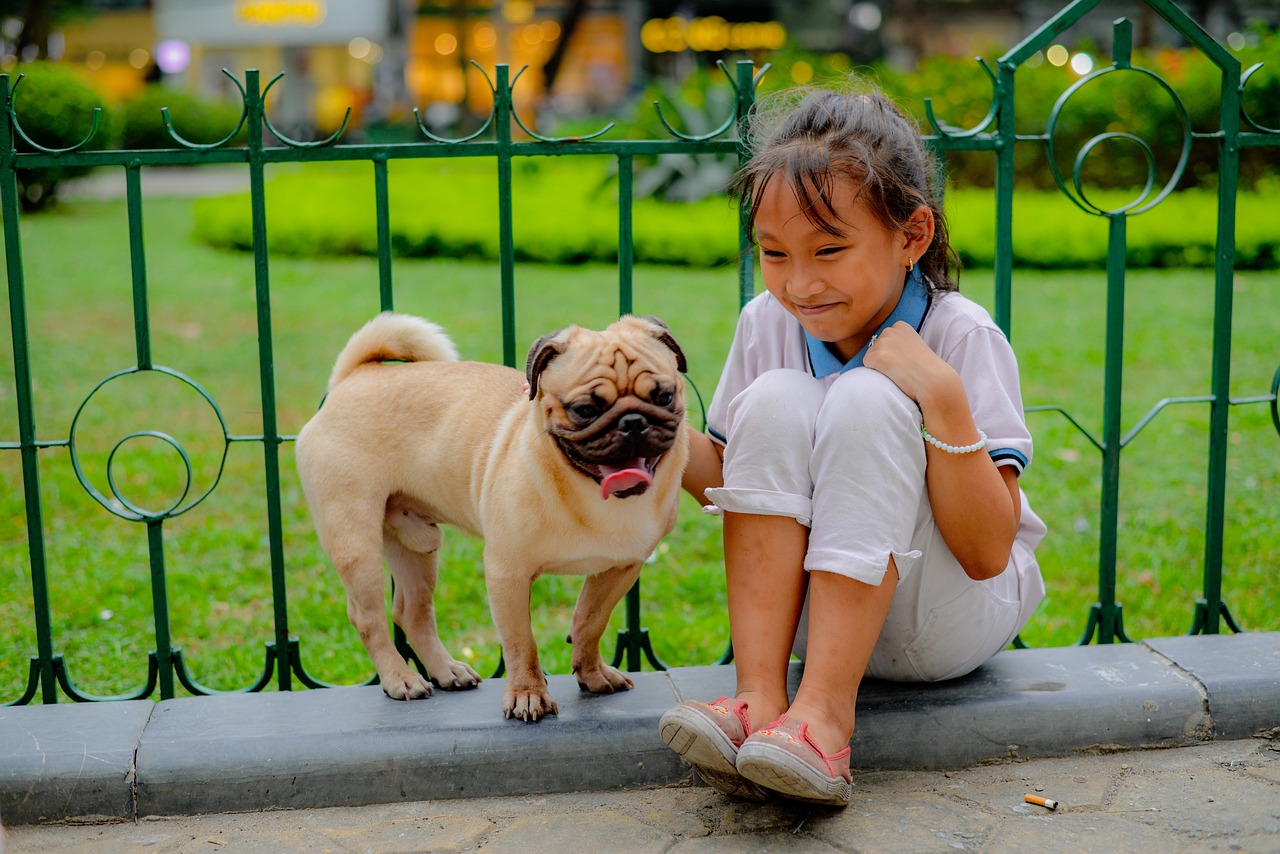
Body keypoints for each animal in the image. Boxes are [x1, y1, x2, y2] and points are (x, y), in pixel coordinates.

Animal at [294, 312, 691, 722]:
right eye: (585, 409)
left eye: (664, 396)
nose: (633, 421)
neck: (593, 494)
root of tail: (353, 377)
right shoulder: (508, 574)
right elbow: (521, 643)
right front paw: (527, 695)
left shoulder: (619, 568)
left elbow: (589, 622)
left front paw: (593, 674)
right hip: (356, 543)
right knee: (368, 617)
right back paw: (400, 678)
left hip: (414, 547)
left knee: (412, 612)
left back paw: (446, 671)